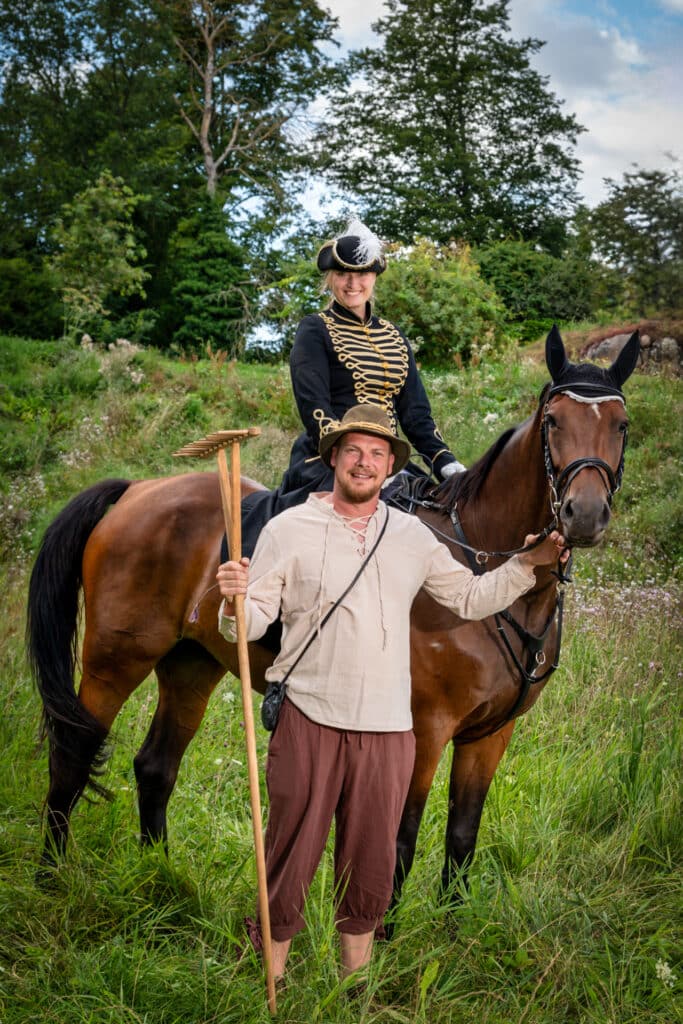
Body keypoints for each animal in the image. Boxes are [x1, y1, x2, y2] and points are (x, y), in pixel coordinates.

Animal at [24, 323, 638, 917]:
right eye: (553, 422)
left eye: (622, 425)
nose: (584, 515)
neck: (481, 569)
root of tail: (137, 490)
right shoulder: (426, 728)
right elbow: (401, 837)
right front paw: (387, 941)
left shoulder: (490, 735)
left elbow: (462, 835)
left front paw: (453, 930)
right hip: (115, 659)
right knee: (72, 753)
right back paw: (52, 878)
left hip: (191, 664)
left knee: (156, 766)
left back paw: (161, 877)